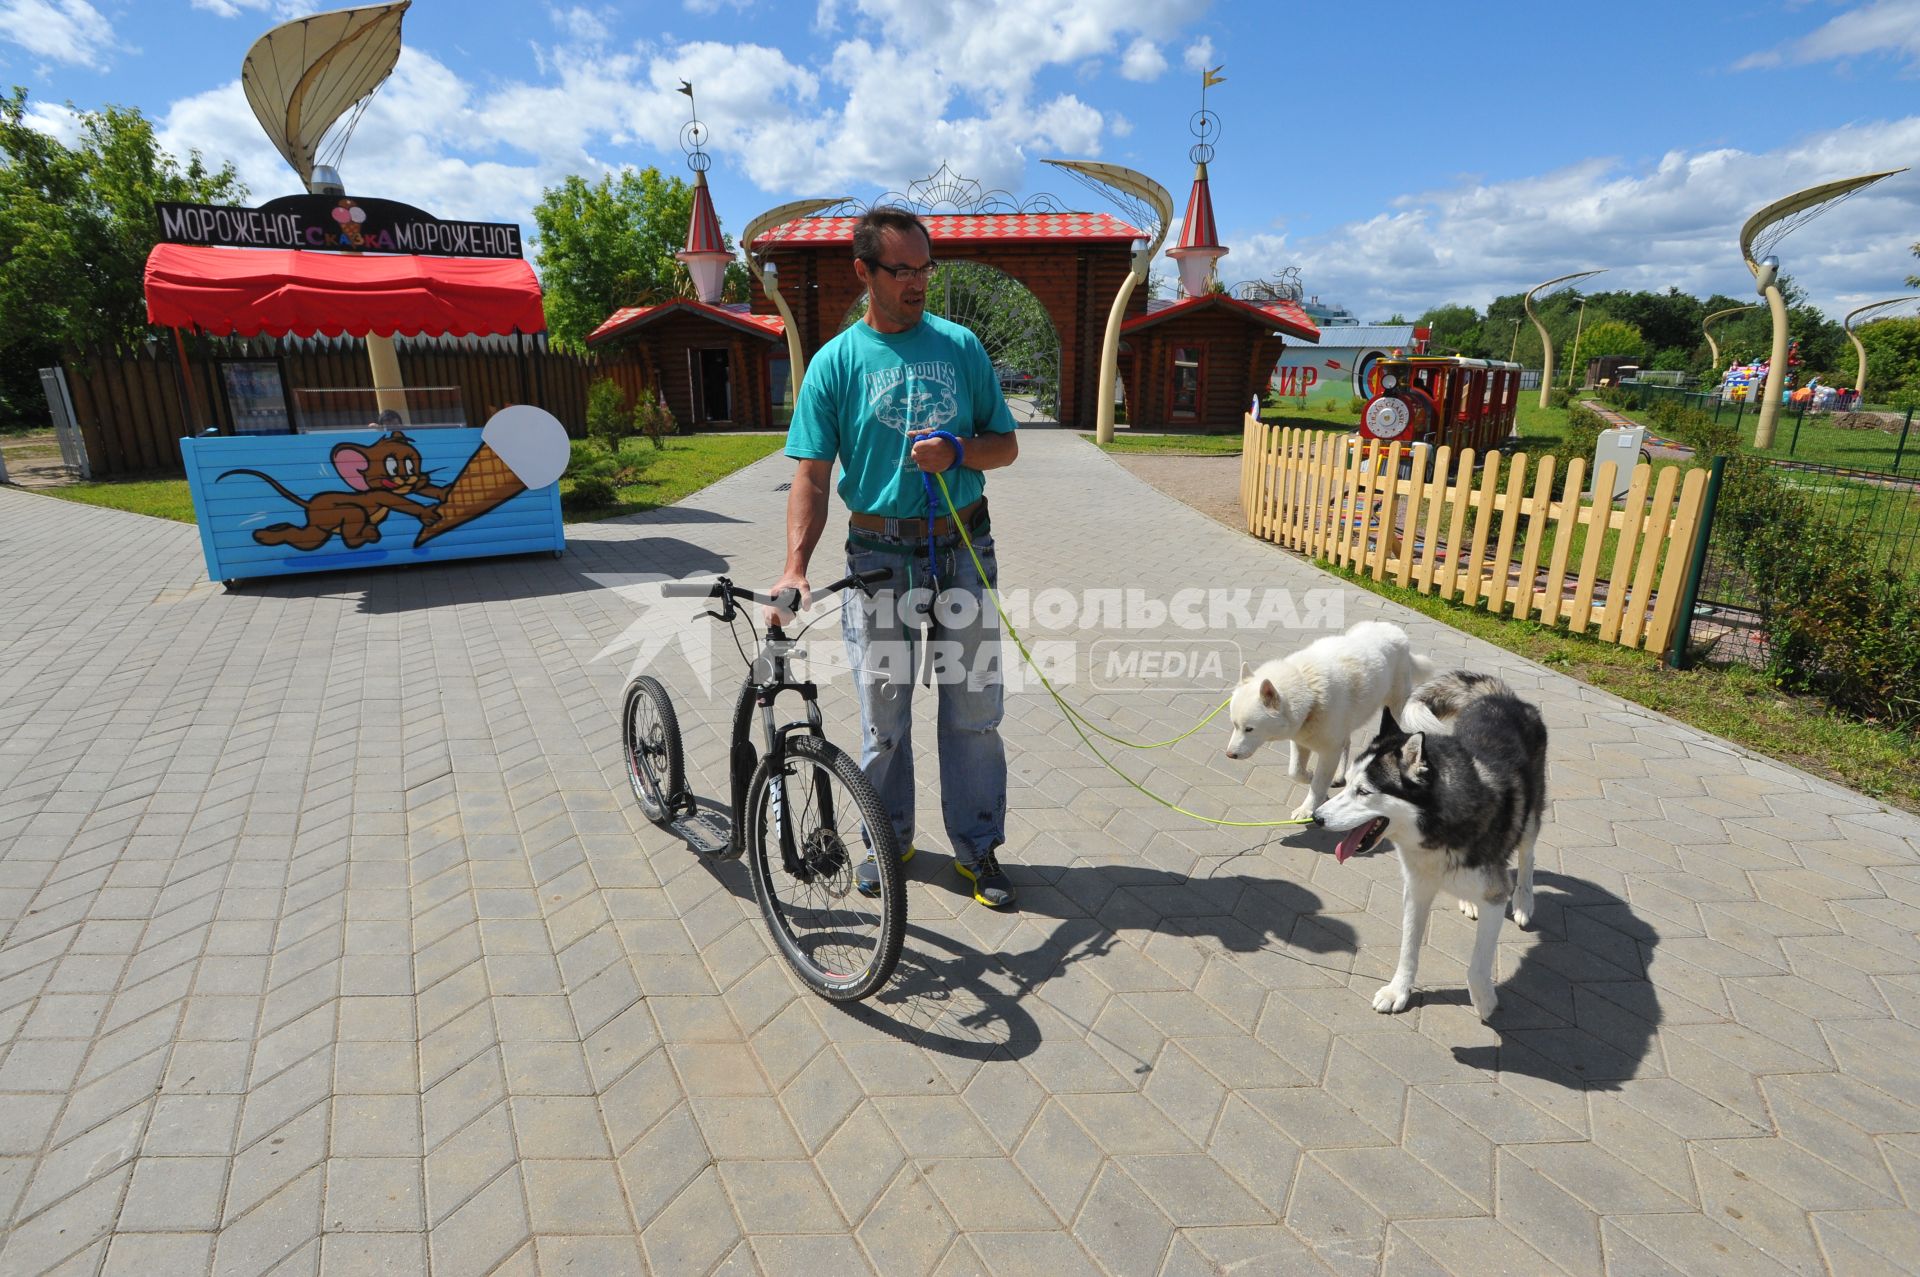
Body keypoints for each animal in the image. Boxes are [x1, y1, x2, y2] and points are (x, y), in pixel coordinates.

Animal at [1228, 618, 1428, 818]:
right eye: (1234, 725)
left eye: (1249, 729)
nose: (1230, 755)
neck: (1309, 690)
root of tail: (1396, 631)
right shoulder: (1301, 741)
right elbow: (1295, 772)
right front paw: (1309, 776)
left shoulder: (1329, 752)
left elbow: (1318, 783)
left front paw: (1307, 808)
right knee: (1346, 742)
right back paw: (1339, 776)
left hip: (1395, 708)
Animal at [1313, 672, 1551, 1021]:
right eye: (1349, 785)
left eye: (1364, 791)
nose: (1317, 817)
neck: (1437, 831)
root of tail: (1500, 696)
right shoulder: (1416, 890)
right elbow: (1408, 948)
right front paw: (1398, 991)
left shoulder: (1495, 896)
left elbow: (1477, 966)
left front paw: (1484, 1001)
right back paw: (1468, 902)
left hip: (1530, 819)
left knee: (1527, 856)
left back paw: (1523, 903)